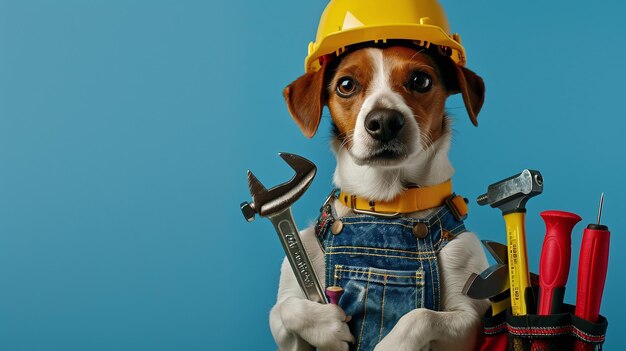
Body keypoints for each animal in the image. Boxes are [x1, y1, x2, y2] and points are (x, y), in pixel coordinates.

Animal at [270, 42, 490, 351]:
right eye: (346, 85)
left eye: (421, 80)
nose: (384, 121)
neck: (384, 205)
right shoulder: (287, 311)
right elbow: (286, 309)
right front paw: (326, 324)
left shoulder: (469, 320)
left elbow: (422, 316)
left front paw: (392, 345)